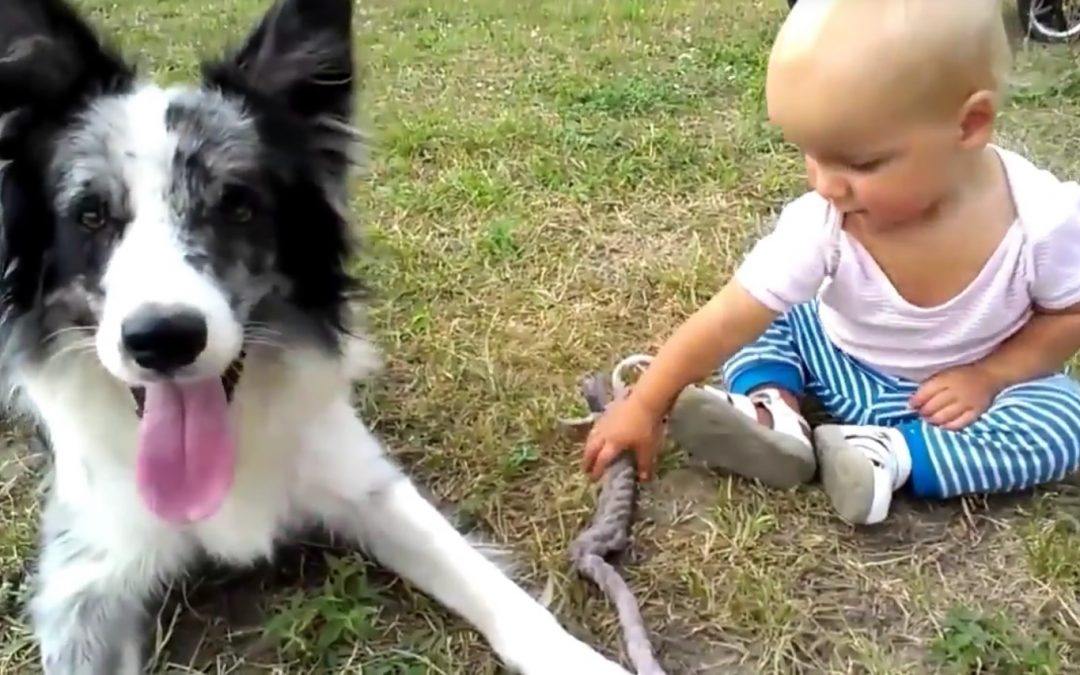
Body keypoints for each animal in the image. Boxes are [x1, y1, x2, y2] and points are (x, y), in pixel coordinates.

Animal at [0, 0, 630, 669]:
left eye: (238, 206)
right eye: (91, 215)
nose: (163, 339)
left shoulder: (364, 481)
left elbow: (494, 590)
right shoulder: (83, 582)